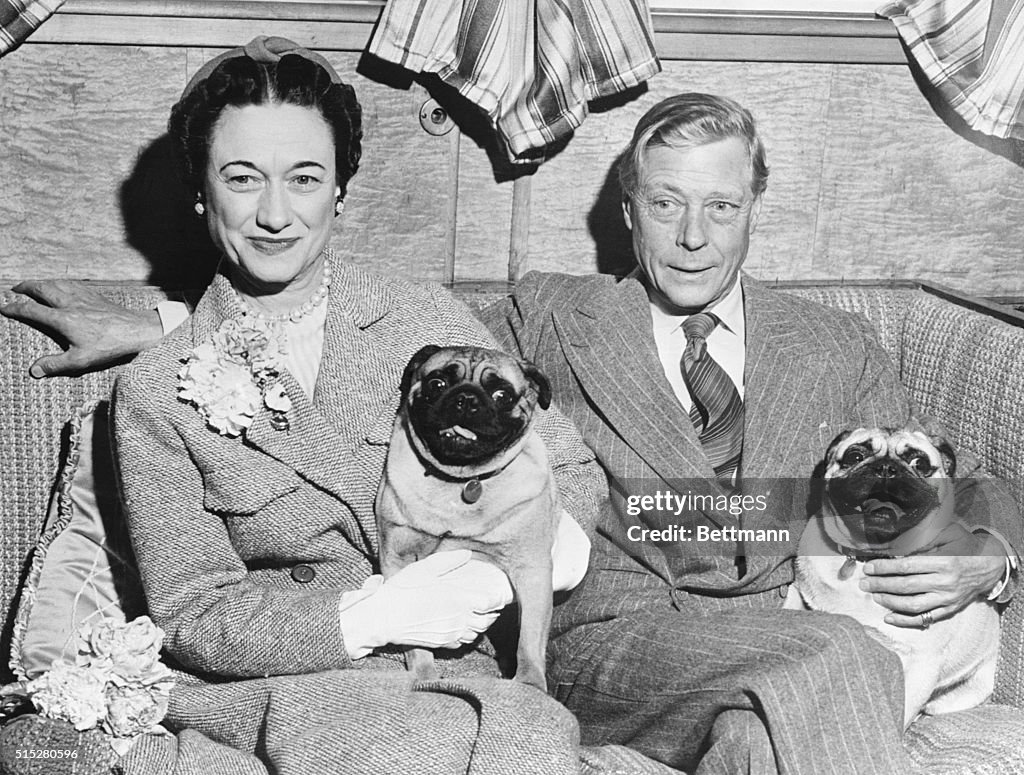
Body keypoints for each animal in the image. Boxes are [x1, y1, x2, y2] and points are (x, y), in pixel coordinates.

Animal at [376, 343, 561, 687]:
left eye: (502, 395)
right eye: (437, 384)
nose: (466, 398)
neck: (461, 479)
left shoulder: (532, 570)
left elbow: (529, 638)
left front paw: (530, 681)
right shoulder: (398, 558)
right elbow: (414, 635)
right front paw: (424, 673)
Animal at [782, 425, 999, 728]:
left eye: (919, 463)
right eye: (855, 456)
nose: (885, 468)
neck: (866, 557)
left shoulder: (921, 665)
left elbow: (902, 713)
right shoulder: (798, 596)